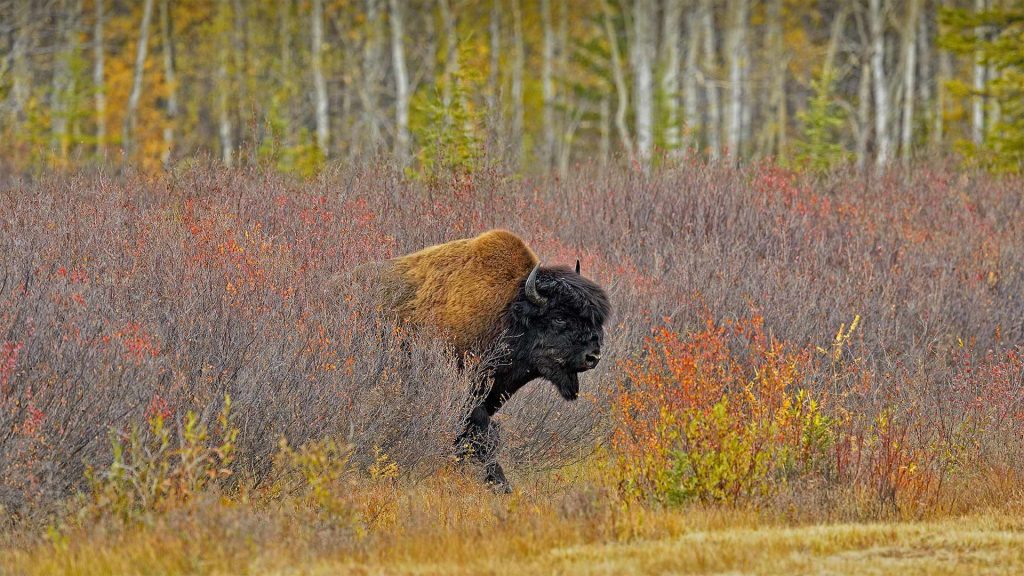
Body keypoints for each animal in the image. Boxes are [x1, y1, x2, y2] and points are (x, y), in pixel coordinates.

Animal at [374, 228, 606, 487]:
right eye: (559, 317)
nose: (593, 356)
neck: (507, 309)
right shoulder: (469, 395)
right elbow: (482, 436)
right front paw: (501, 485)